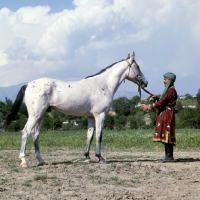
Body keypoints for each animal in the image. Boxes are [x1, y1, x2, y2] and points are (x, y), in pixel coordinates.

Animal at [5, 52, 148, 167]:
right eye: (138, 67)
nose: (145, 83)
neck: (103, 85)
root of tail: (28, 84)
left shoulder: (91, 117)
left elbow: (89, 135)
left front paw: (87, 157)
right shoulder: (100, 115)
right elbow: (99, 135)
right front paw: (100, 157)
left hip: (40, 115)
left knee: (35, 134)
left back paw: (41, 160)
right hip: (35, 115)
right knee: (26, 132)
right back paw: (24, 161)